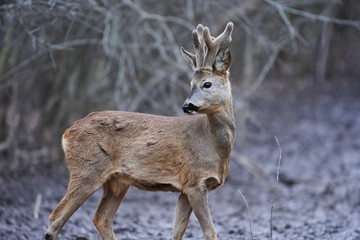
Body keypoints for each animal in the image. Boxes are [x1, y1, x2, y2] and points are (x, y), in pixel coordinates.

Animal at [45, 21, 235, 239]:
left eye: (207, 84)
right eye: (190, 84)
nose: (187, 105)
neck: (213, 144)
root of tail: (67, 132)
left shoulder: (184, 188)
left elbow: (177, 230)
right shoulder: (194, 181)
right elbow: (210, 232)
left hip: (117, 181)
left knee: (101, 218)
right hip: (86, 169)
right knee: (56, 217)